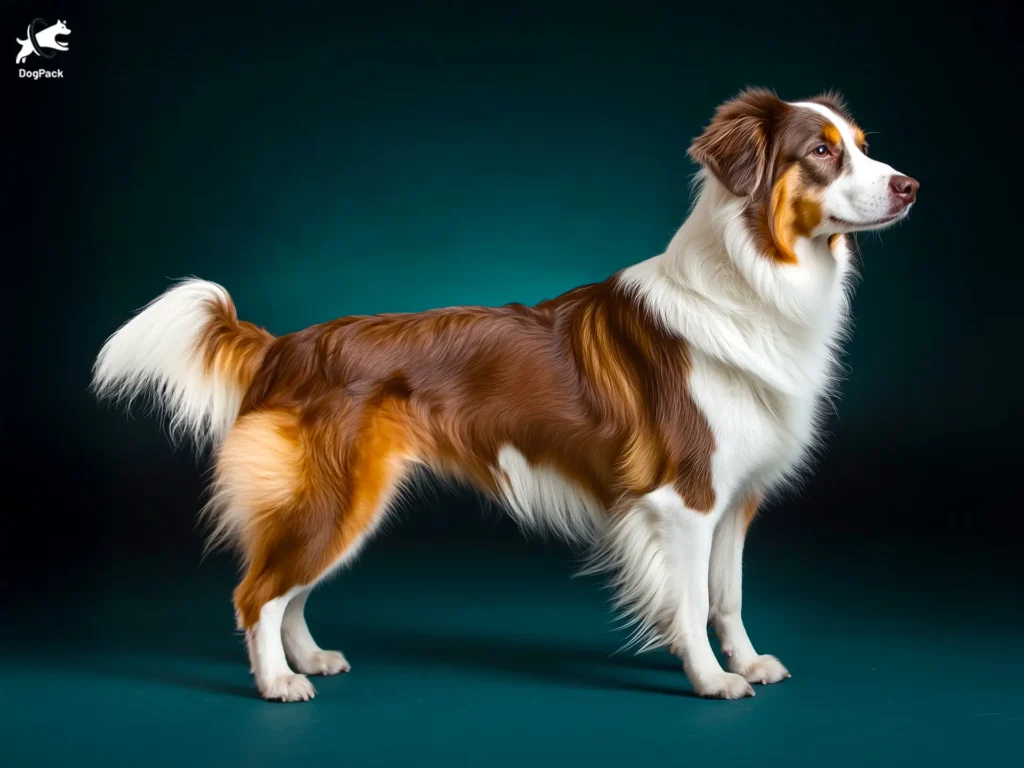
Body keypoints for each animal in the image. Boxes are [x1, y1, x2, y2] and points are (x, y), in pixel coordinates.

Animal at [92, 90, 917, 704]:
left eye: (863, 143)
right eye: (822, 151)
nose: (910, 185)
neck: (757, 277)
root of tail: (285, 345)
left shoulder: (735, 497)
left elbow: (728, 594)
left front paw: (744, 662)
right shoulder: (683, 498)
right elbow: (688, 600)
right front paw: (712, 681)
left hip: (347, 498)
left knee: (290, 588)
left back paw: (311, 657)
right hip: (335, 493)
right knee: (257, 592)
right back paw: (278, 683)